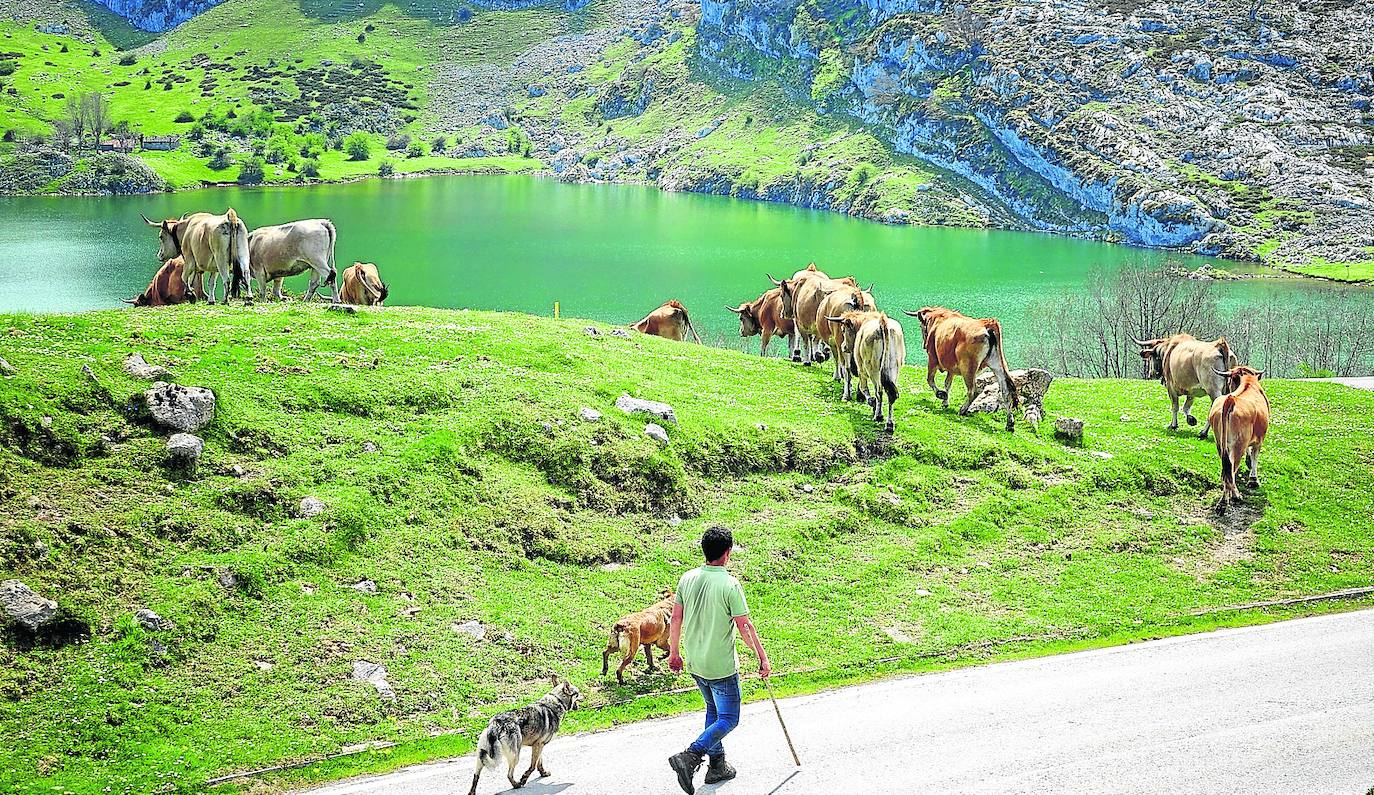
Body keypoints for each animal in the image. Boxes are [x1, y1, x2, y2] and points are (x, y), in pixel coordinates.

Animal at [1209, 365, 1269, 508]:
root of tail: (1230, 399)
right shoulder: (1259, 440)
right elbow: (1255, 457)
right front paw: (1253, 480)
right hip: (1238, 445)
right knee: (1231, 470)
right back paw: (1230, 498)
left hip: (1221, 444)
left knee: (1226, 469)